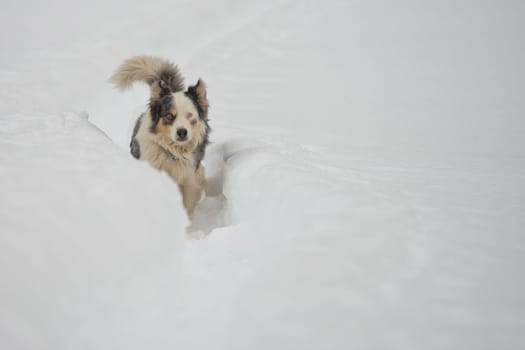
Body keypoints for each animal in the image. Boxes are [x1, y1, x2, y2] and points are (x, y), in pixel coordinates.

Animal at [110, 56, 209, 216]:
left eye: (190, 116)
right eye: (169, 115)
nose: (182, 132)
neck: (173, 154)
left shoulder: (189, 181)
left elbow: (187, 205)